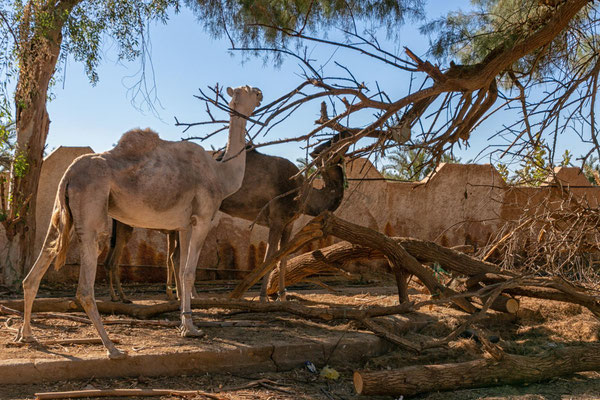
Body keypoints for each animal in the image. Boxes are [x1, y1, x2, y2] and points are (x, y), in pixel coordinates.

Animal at [14, 85, 260, 360]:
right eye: (250, 91)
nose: (261, 93)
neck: (221, 174)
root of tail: (68, 174)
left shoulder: (185, 224)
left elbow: (180, 269)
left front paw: (186, 325)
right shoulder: (203, 218)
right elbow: (188, 272)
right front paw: (192, 329)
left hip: (59, 212)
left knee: (36, 270)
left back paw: (27, 335)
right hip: (92, 211)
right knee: (85, 287)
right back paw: (112, 348)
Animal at [105, 142, 344, 302]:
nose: (321, 150)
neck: (303, 192)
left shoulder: (288, 223)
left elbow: (283, 258)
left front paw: (282, 296)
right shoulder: (277, 219)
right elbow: (270, 256)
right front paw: (263, 297)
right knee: (177, 255)